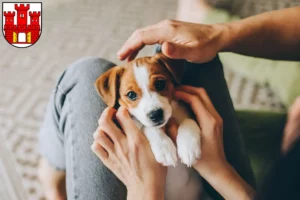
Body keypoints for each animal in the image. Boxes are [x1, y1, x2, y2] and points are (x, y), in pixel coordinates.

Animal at [95, 53, 205, 200]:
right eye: (131, 95)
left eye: (160, 83)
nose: (156, 114)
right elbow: (148, 127)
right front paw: (164, 148)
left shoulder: (190, 113)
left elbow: (188, 121)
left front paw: (188, 148)